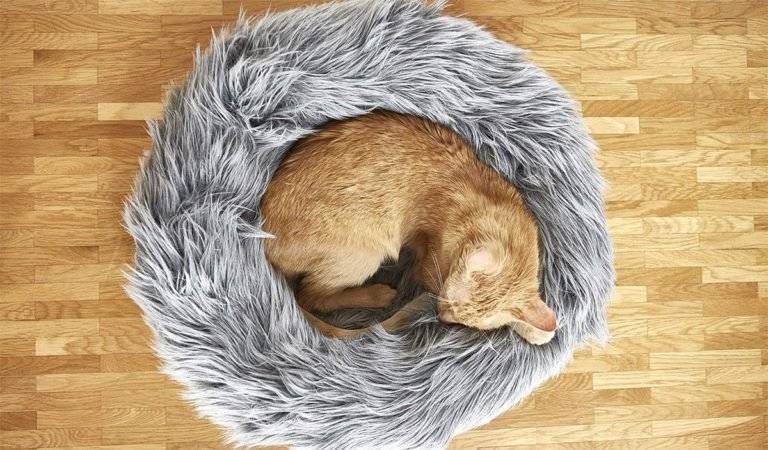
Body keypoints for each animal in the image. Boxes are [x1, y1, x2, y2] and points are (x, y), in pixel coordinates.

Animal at [261, 111, 557, 344]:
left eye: (467, 323)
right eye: (449, 301)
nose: (441, 316)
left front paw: (538, 330)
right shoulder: (429, 271)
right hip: (365, 256)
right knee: (311, 297)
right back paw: (377, 295)